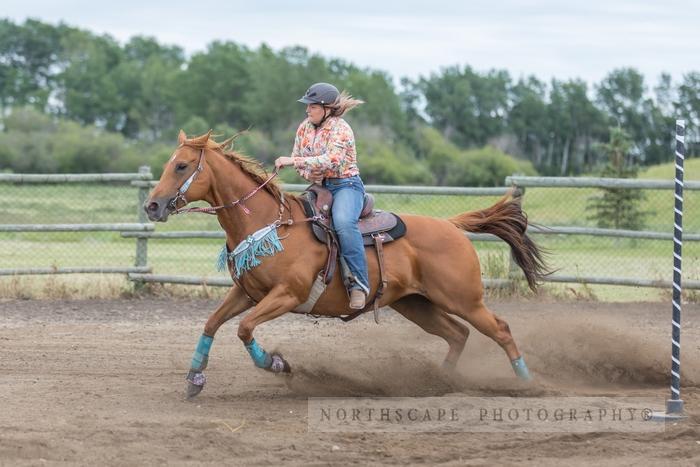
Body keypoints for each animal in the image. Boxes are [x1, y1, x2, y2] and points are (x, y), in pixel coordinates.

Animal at [145, 132, 548, 398]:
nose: (152, 205)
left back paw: (528, 382)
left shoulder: (287, 295)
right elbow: (212, 323)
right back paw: (442, 382)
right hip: (416, 303)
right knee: (457, 334)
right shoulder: (247, 293)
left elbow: (244, 329)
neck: (268, 223)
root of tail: (451, 225)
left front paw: (278, 364)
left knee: (500, 329)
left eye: (181, 165)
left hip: (464, 299)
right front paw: (195, 379)